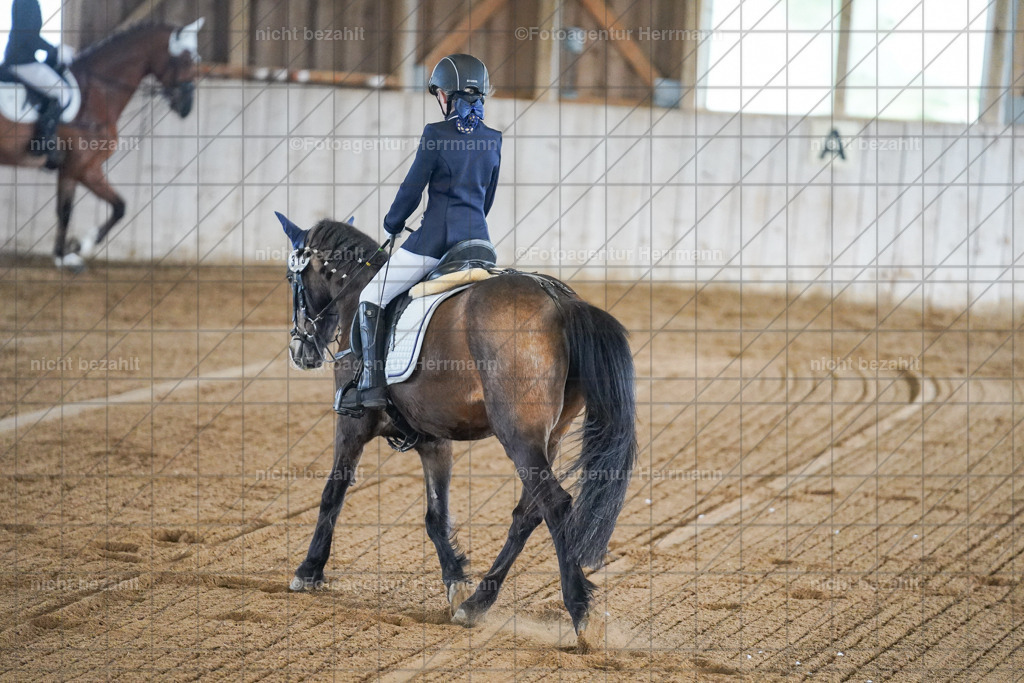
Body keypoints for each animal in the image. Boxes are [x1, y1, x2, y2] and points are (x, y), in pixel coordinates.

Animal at [0, 19, 204, 271]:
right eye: (186, 60)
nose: (186, 107)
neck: (98, 91)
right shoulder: (78, 167)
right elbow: (68, 211)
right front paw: (77, 248)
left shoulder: (84, 168)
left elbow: (116, 207)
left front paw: (68, 252)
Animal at [280, 216, 637, 645]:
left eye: (291, 279)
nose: (299, 351)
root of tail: (560, 301)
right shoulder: (434, 440)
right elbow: (437, 516)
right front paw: (456, 582)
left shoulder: (352, 424)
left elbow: (331, 494)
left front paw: (308, 570)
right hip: (548, 437)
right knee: (527, 513)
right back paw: (477, 603)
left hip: (519, 437)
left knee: (555, 505)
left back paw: (581, 612)